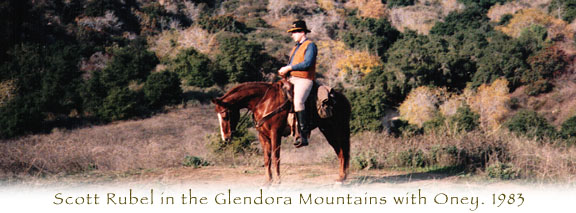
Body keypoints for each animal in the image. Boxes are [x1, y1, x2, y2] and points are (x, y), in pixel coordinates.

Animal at [213, 80, 352, 183]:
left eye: (225, 116)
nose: (226, 138)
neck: (265, 102)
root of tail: (343, 98)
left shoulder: (275, 133)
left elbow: (276, 157)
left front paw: (277, 182)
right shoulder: (263, 136)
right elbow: (267, 159)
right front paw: (268, 182)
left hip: (336, 129)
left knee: (342, 151)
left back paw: (341, 179)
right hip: (328, 130)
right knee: (340, 151)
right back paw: (342, 177)